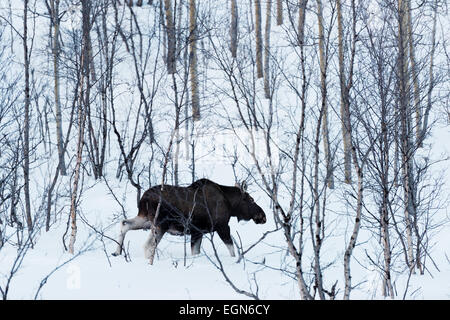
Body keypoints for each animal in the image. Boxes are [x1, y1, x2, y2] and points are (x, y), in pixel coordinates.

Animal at [113, 179, 268, 264]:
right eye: (251, 199)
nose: (263, 216)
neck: (231, 205)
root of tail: (143, 198)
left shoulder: (197, 232)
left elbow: (195, 252)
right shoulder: (222, 226)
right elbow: (232, 249)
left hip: (145, 219)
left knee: (124, 224)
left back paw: (116, 252)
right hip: (160, 224)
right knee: (148, 245)